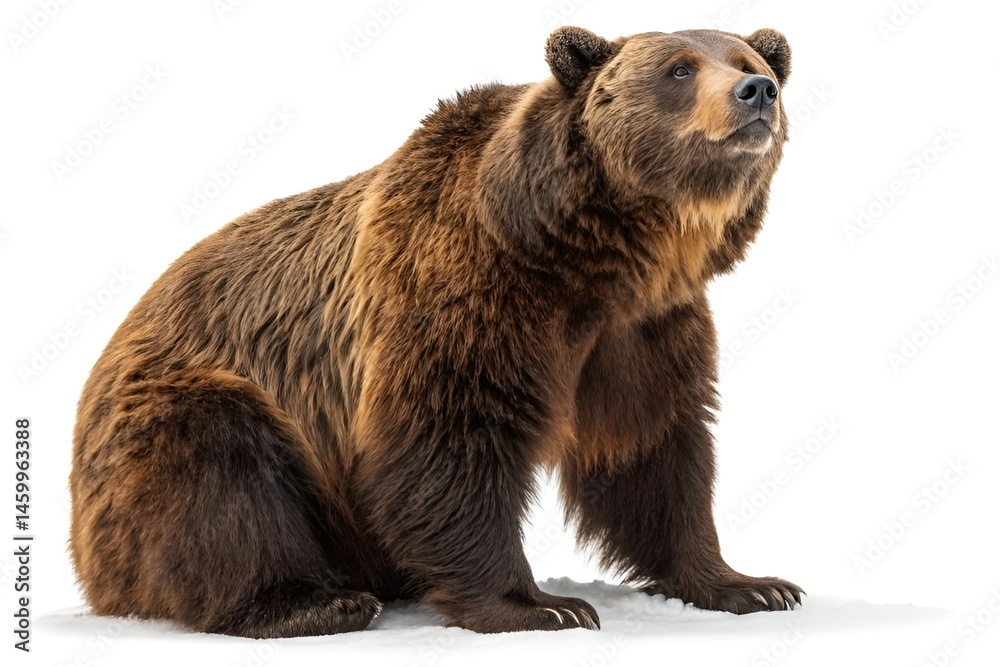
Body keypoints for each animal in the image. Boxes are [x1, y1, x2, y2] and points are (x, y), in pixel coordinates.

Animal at [69, 25, 801, 637]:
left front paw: (750, 584)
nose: (756, 92)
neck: (597, 261)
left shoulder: (644, 331)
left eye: (749, 61)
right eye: (679, 69)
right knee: (223, 465)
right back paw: (315, 603)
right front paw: (542, 605)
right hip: (177, 404)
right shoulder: (468, 290)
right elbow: (448, 437)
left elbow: (652, 452)